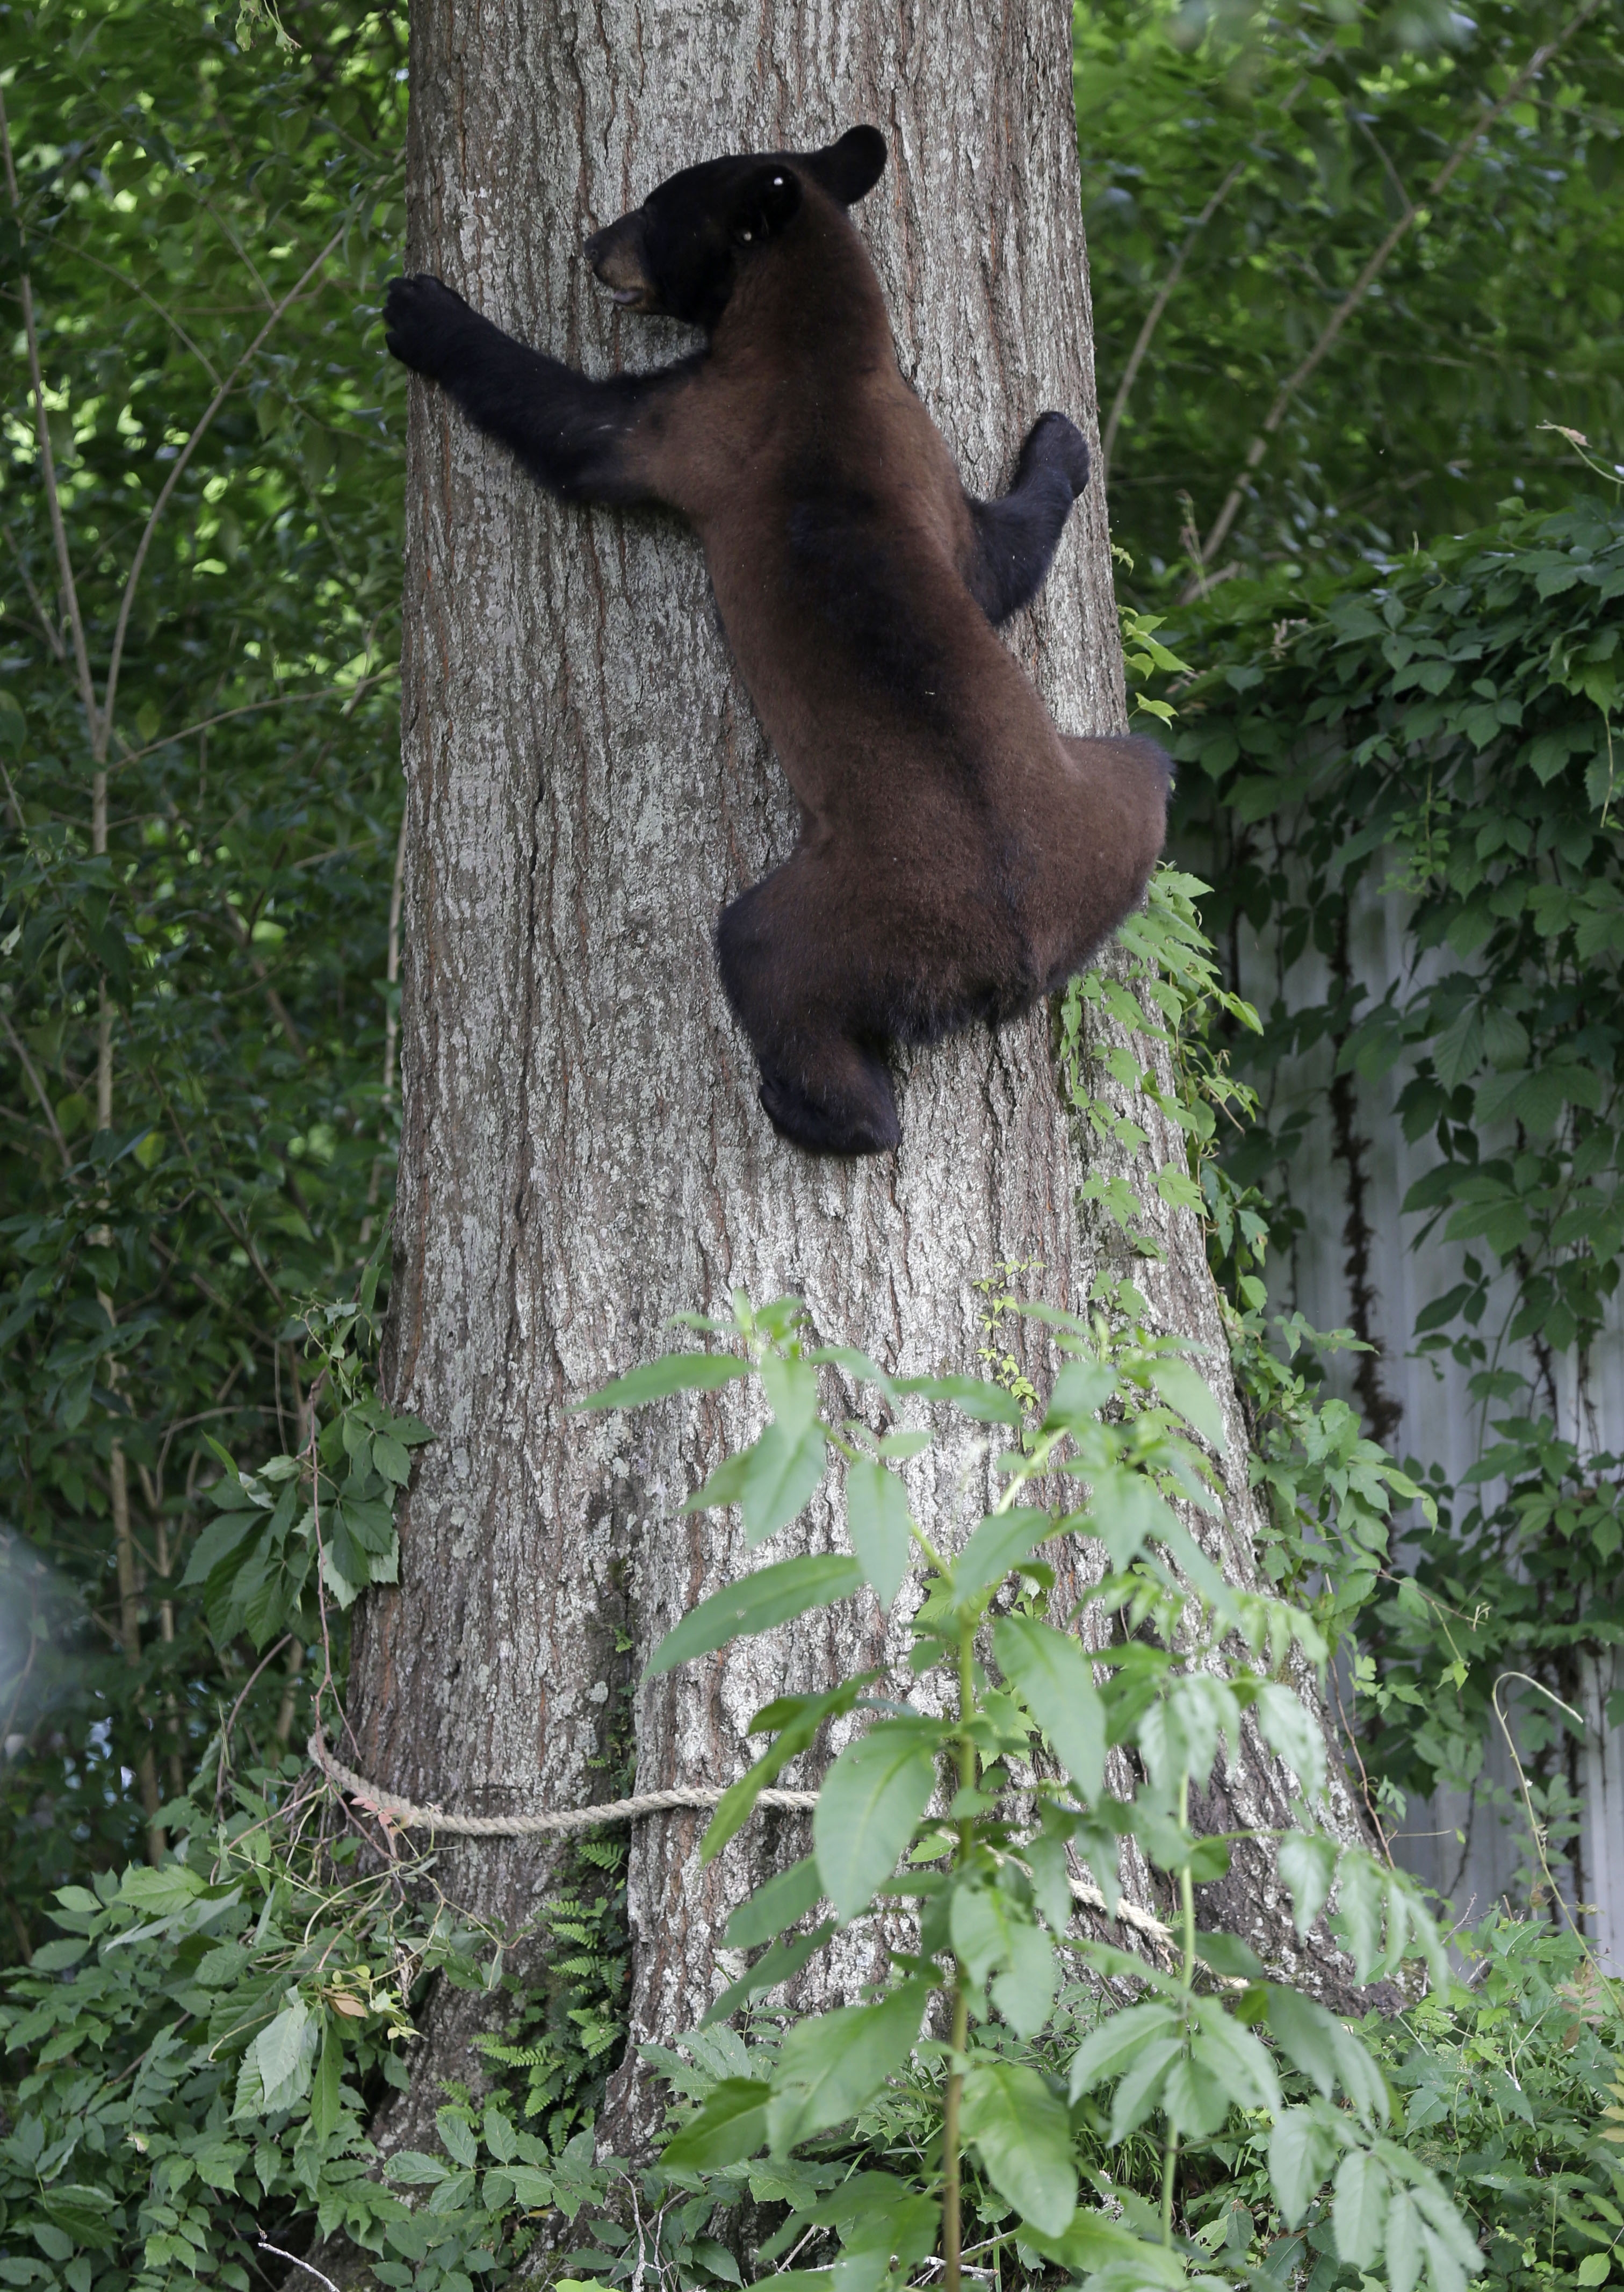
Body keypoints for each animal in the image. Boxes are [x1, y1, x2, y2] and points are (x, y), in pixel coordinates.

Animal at [383, 124, 1169, 1156]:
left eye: (655, 207)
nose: (591, 244)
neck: (819, 346)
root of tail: (1020, 957)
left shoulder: (705, 419)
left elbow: (577, 424)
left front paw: (423, 311)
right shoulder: (918, 447)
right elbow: (999, 561)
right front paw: (1063, 442)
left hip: (839, 920)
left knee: (766, 964)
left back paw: (816, 1111)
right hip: (1110, 811)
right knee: (1152, 763)